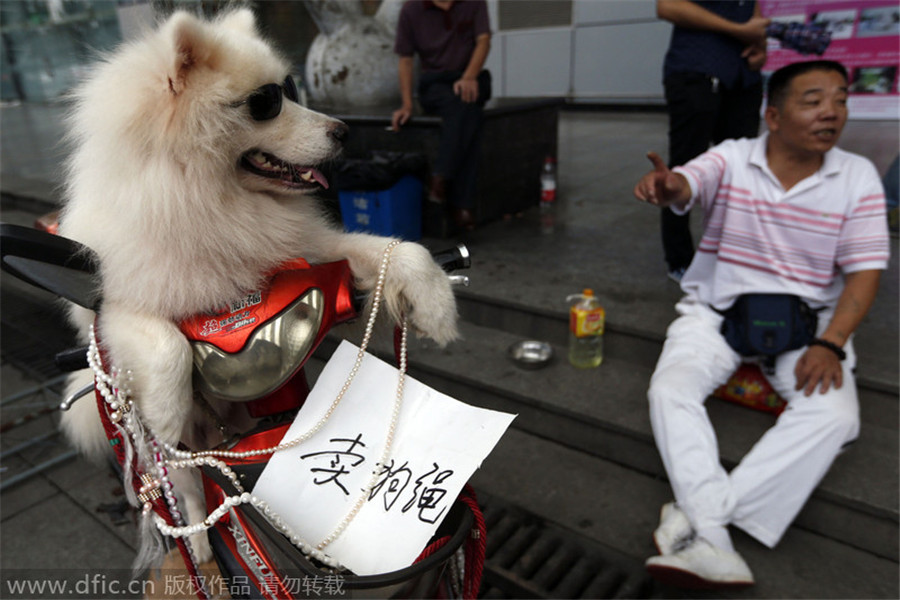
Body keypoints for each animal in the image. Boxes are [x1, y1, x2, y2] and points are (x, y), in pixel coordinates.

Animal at [59, 9, 460, 564]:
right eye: (266, 103)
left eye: (289, 88)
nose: (343, 131)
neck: (213, 206)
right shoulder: (114, 305)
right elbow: (166, 345)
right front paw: (165, 409)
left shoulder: (307, 249)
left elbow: (398, 251)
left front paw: (437, 309)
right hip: (177, 457)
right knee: (186, 487)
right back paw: (200, 542)